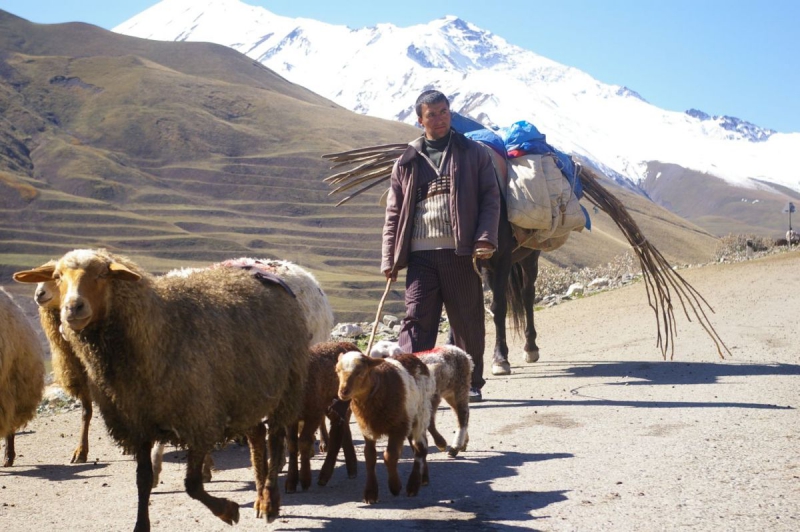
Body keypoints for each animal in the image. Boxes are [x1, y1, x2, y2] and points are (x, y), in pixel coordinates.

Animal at [14, 248, 312, 528]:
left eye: (102, 274)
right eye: (57, 276)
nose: (73, 308)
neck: (158, 330)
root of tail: (265, 274)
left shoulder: (199, 417)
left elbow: (192, 485)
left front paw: (228, 510)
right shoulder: (139, 424)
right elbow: (143, 480)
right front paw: (141, 524)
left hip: (287, 387)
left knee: (276, 442)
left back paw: (269, 502)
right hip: (248, 394)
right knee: (258, 436)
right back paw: (262, 495)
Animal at [282, 340, 354, 494]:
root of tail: (349, 344)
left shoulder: (313, 413)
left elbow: (303, 442)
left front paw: (304, 480)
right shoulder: (290, 418)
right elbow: (292, 444)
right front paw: (291, 483)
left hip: (342, 401)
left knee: (337, 432)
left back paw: (325, 475)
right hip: (333, 406)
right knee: (341, 427)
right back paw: (351, 469)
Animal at [338, 350, 438, 502]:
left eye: (360, 372)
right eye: (337, 371)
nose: (343, 392)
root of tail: (412, 356)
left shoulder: (398, 427)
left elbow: (389, 456)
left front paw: (395, 486)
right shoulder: (367, 428)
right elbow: (370, 457)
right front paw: (371, 493)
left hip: (421, 413)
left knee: (420, 448)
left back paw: (413, 485)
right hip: (410, 419)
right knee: (418, 446)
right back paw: (423, 478)